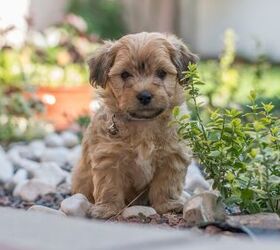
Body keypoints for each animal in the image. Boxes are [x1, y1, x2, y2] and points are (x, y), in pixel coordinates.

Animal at [71, 32, 197, 218]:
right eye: (124, 74)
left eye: (161, 73)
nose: (144, 95)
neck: (143, 123)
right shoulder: (108, 158)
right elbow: (109, 185)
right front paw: (107, 208)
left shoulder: (173, 156)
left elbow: (167, 184)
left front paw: (168, 205)